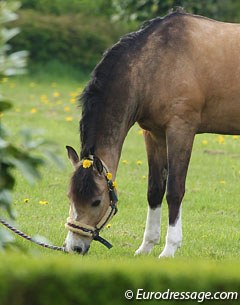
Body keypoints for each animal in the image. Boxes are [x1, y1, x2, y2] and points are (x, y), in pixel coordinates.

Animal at [64, 8, 240, 255]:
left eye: (96, 201)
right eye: (70, 196)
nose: (74, 247)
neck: (156, 64)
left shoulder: (181, 130)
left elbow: (174, 190)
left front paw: (169, 250)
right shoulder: (154, 134)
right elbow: (154, 190)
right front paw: (146, 247)